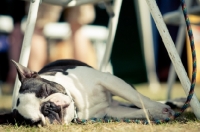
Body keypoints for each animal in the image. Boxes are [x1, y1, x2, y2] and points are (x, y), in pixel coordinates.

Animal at [0, 59, 175, 125]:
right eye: (37, 122)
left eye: (46, 89)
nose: (48, 107)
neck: (78, 106)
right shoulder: (110, 111)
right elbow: (138, 111)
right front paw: (158, 113)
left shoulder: (108, 80)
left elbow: (138, 99)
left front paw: (159, 109)